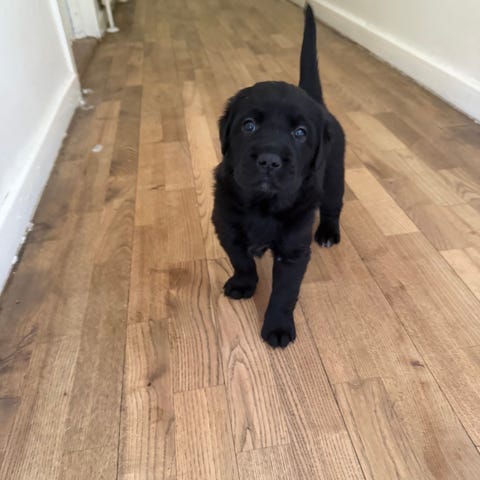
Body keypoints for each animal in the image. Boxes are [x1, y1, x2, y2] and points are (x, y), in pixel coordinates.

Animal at [212, 4, 345, 348]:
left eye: (300, 133)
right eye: (248, 125)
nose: (270, 160)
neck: (262, 204)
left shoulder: (293, 251)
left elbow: (285, 293)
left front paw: (278, 327)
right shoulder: (227, 228)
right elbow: (241, 260)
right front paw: (244, 284)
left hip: (334, 179)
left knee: (332, 207)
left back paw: (328, 232)